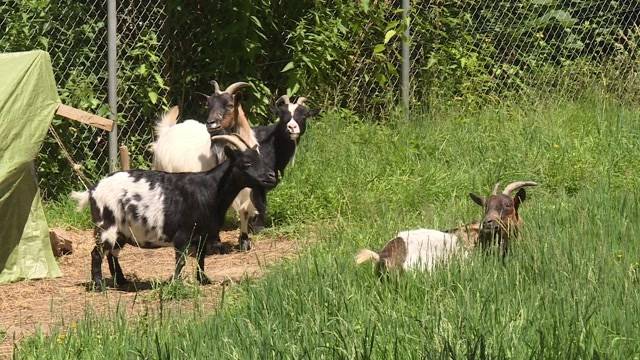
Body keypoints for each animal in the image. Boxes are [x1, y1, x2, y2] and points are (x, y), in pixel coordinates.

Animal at [72, 134, 276, 290]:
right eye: (246, 163)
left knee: (112, 253)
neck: (210, 189)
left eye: (261, 159)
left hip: (121, 231)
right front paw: (176, 284)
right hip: (106, 226)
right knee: (97, 253)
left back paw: (121, 280)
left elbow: (201, 259)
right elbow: (181, 261)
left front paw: (204, 280)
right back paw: (99, 285)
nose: (272, 176)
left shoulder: (202, 235)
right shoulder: (182, 235)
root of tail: (93, 190)